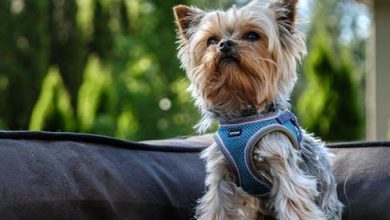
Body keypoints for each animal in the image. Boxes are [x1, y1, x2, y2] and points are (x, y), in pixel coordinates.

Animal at [172, 0, 342, 219]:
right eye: (212, 40)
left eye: (252, 36)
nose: (224, 44)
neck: (242, 118)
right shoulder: (221, 173)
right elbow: (216, 207)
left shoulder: (283, 166)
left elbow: (294, 205)